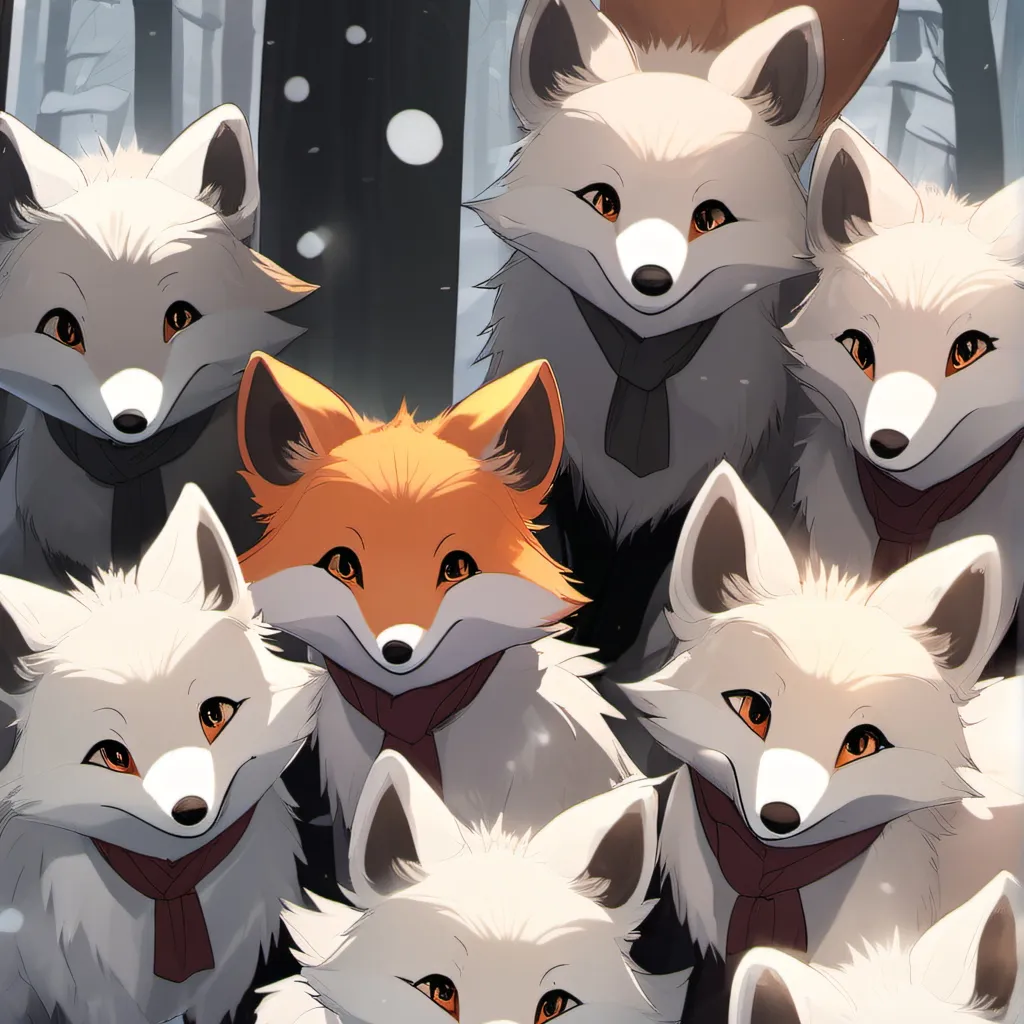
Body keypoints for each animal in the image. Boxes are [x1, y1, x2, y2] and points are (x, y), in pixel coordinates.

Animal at [0, 483, 324, 1024]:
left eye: (214, 715)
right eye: (113, 756)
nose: (191, 811)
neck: (173, 886)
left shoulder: (219, 989)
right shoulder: (99, 999)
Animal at [466, 0, 897, 666]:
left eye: (710, 217)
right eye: (602, 200)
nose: (651, 280)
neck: (642, 372)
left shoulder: (703, 481)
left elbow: (640, 598)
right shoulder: (566, 481)